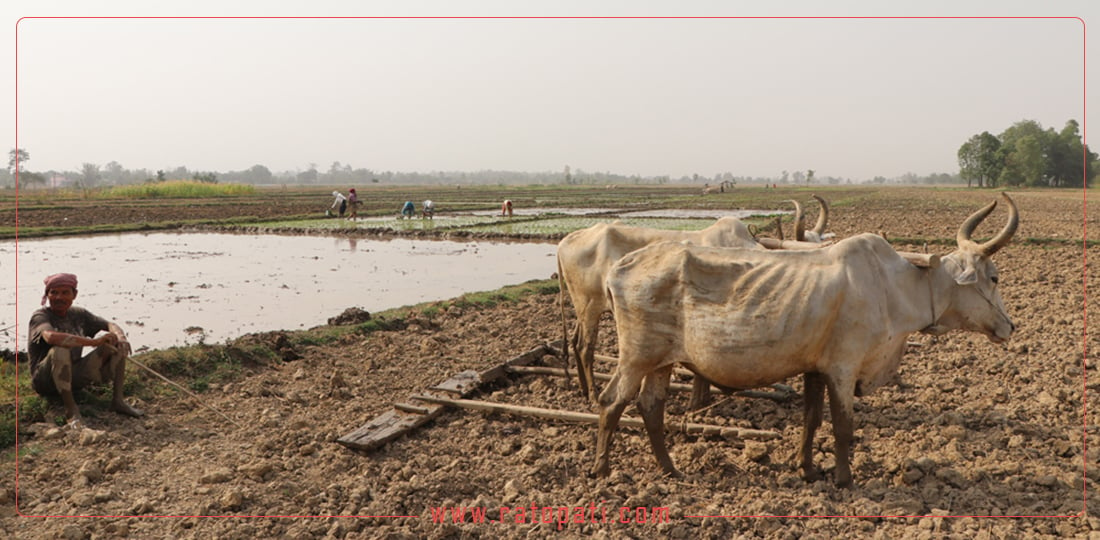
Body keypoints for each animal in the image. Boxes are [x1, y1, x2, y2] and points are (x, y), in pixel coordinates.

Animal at [594, 193, 1020, 486]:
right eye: (994, 277)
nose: (1010, 328)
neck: (893, 286)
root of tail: (620, 267)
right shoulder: (844, 368)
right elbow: (843, 425)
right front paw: (845, 480)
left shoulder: (816, 368)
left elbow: (812, 419)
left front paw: (808, 469)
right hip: (635, 357)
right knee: (612, 401)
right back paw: (602, 470)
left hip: (660, 362)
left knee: (650, 408)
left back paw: (670, 470)